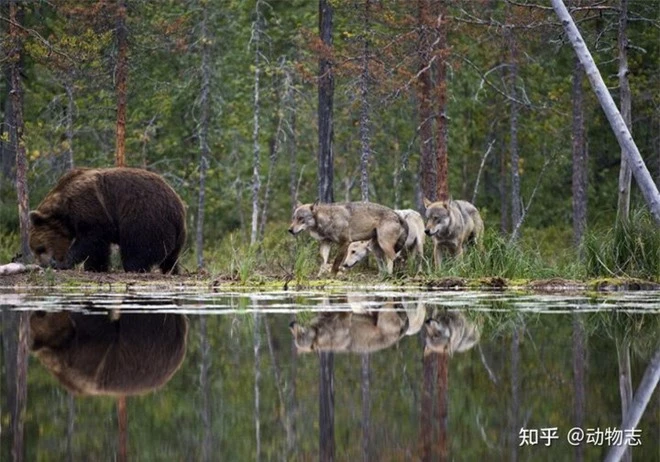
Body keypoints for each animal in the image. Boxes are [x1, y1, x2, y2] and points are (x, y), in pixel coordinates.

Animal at [28, 168, 186, 272]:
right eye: (35, 249)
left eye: (40, 248)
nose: (43, 264)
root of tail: (178, 208)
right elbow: (99, 248)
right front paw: (96, 267)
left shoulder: (89, 206)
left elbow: (89, 240)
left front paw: (64, 263)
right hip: (174, 233)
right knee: (170, 257)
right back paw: (171, 270)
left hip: (145, 217)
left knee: (138, 248)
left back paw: (134, 267)